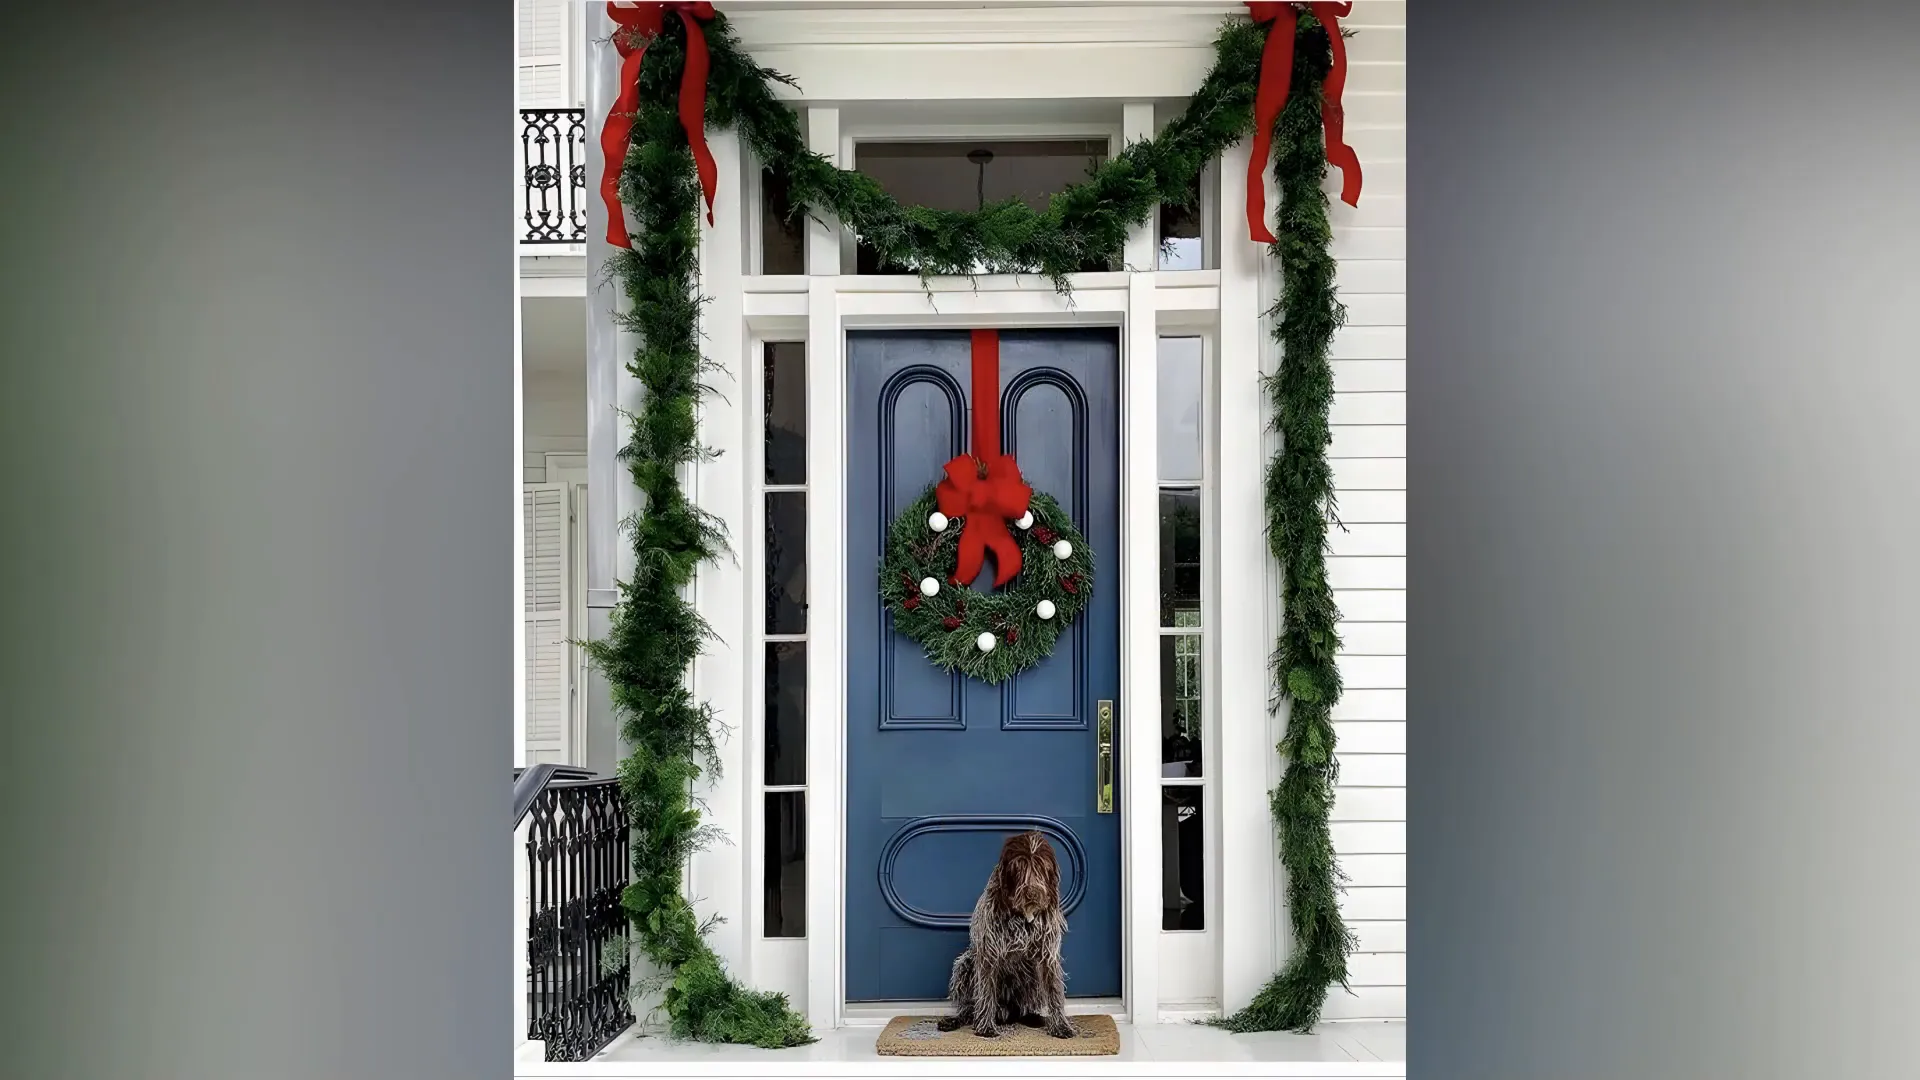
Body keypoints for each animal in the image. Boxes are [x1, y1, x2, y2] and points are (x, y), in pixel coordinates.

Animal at [933, 822, 1075, 1037]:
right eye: (1019, 865)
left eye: (1041, 866)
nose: (1032, 893)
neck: (1022, 916)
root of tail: (1007, 1013)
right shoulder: (988, 954)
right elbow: (986, 993)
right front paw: (985, 1027)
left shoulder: (1046, 955)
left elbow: (1054, 991)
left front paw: (1060, 1025)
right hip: (965, 964)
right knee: (969, 1008)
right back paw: (958, 1020)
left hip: (1031, 974)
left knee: (1022, 1009)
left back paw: (1033, 1018)